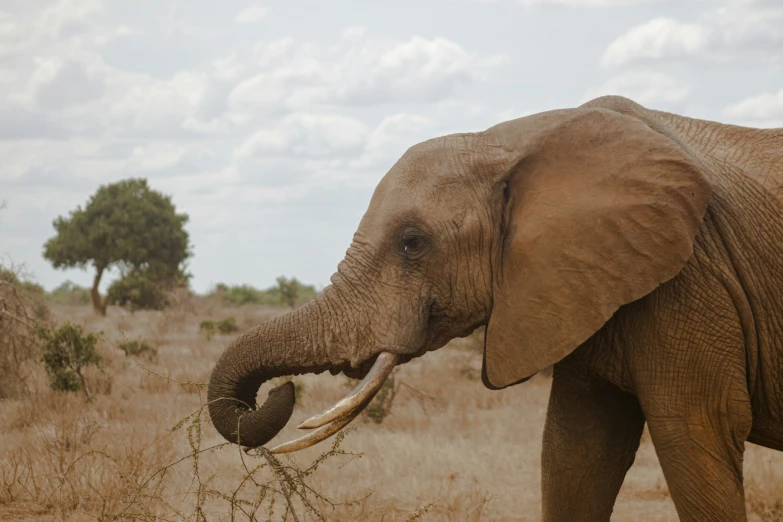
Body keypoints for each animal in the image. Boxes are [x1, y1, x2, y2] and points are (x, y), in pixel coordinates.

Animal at [208, 94, 783, 520]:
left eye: (412, 244)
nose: (278, 394)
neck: (508, 141)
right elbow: (577, 450)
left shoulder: (693, 280)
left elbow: (696, 435)